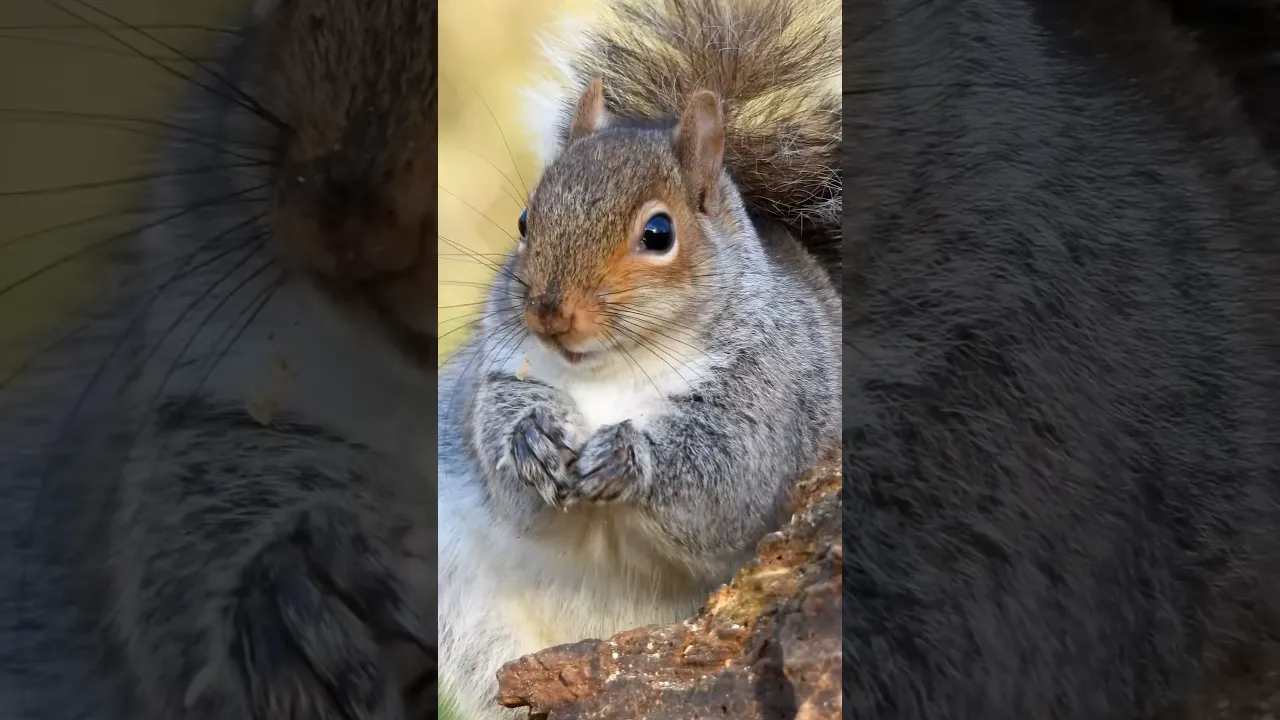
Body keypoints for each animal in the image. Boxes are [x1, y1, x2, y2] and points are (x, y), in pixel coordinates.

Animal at [434, 0, 840, 717]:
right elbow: (500, 447)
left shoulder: (768, 402)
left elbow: (723, 482)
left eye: (658, 233)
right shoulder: (496, 372)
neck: (613, 368)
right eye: (524, 221)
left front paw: (626, 456)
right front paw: (532, 438)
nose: (548, 311)